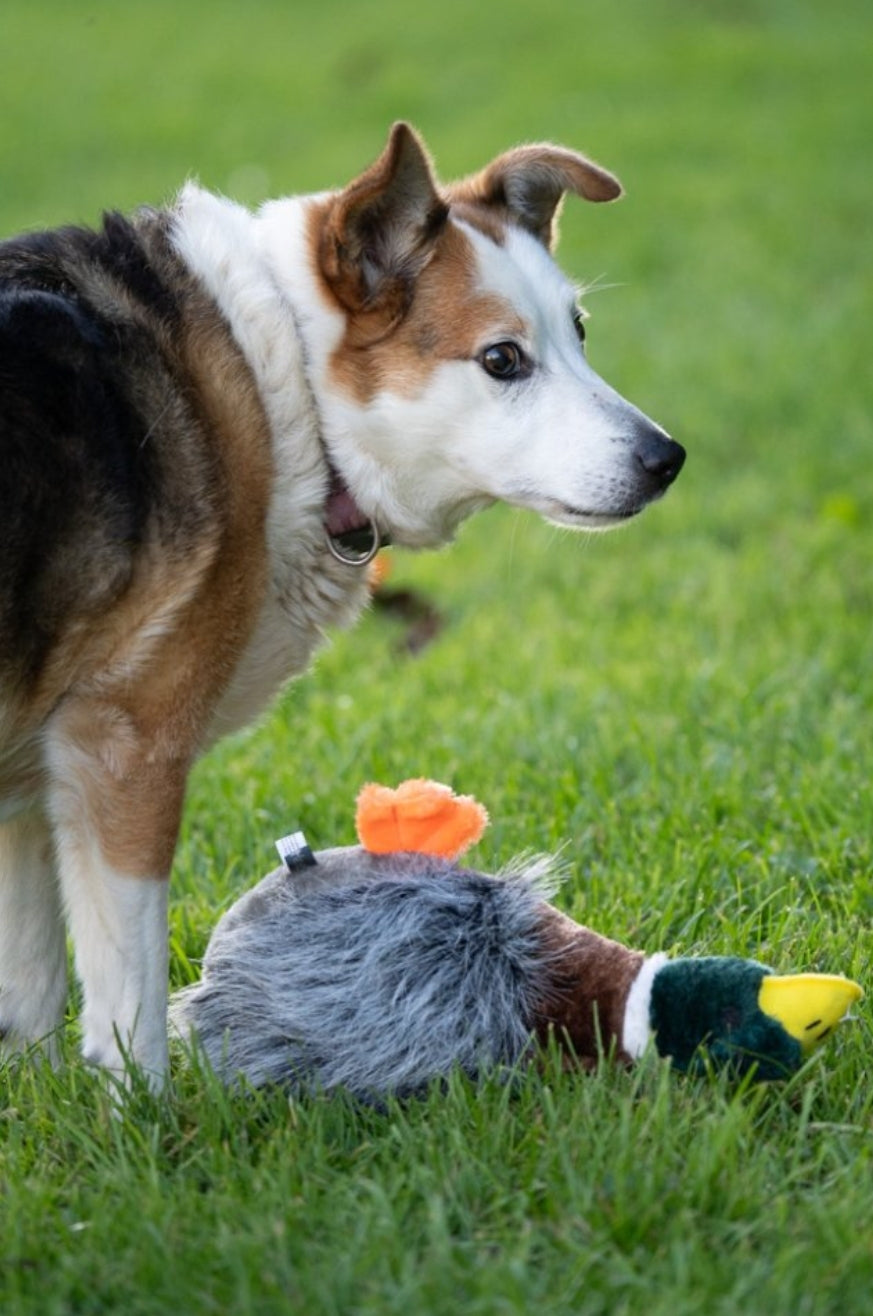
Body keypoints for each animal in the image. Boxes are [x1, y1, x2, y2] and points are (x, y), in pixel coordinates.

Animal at [0, 125, 684, 1089]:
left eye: (578, 333)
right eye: (502, 360)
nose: (667, 460)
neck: (288, 385)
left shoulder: (31, 778)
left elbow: (27, 994)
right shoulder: (124, 748)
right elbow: (128, 1017)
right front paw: (148, 1129)